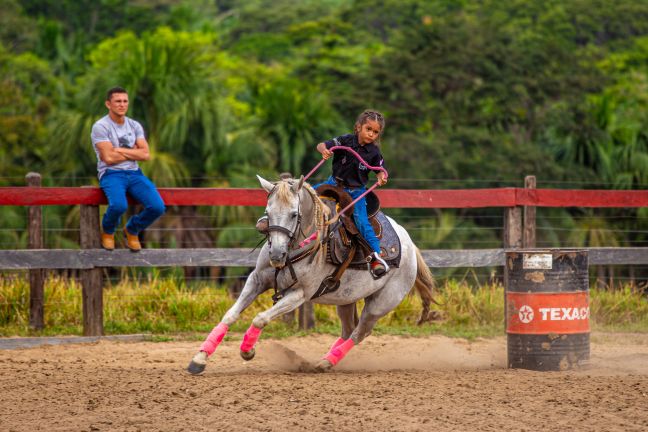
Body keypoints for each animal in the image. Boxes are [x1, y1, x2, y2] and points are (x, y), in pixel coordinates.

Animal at [189, 176, 436, 374]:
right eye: (268, 212)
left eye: (294, 214)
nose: (276, 254)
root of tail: (410, 245)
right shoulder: (257, 280)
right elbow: (230, 315)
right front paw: (199, 359)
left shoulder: (300, 294)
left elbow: (260, 318)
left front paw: (247, 351)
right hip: (346, 299)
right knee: (349, 330)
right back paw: (322, 360)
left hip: (381, 303)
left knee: (359, 333)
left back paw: (325, 363)